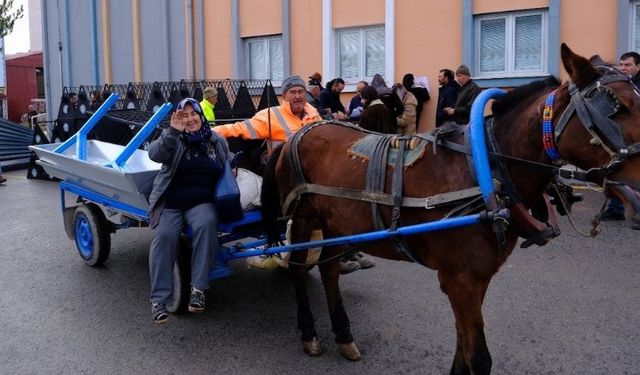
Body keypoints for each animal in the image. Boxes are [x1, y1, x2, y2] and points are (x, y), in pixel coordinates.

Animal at [260, 44, 640, 375]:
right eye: (616, 107)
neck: (485, 172)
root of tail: (297, 135)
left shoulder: (476, 280)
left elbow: (464, 347)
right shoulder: (461, 281)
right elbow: (479, 358)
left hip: (338, 223)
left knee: (329, 270)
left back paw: (343, 334)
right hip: (304, 218)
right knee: (299, 269)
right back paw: (309, 332)